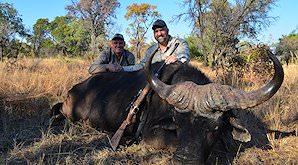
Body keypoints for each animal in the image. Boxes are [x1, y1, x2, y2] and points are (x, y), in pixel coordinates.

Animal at [51, 48, 284, 164]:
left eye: (215, 127)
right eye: (178, 124)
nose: (184, 160)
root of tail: (77, 88)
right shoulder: (150, 134)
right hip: (71, 111)